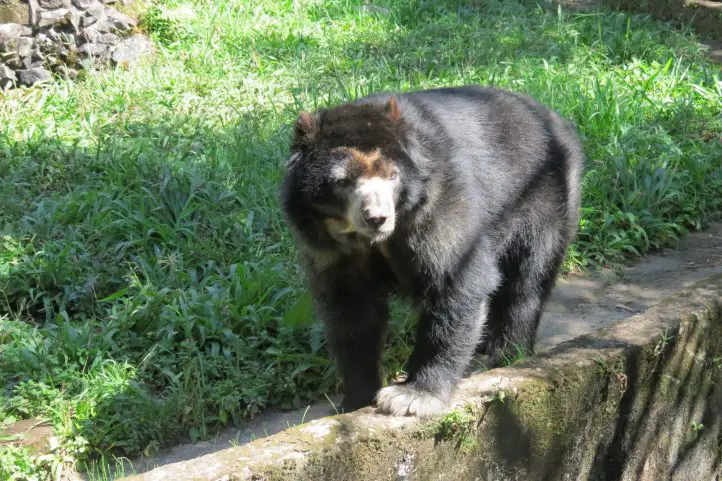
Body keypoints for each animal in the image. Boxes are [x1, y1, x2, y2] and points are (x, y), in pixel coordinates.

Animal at [278, 86, 584, 416]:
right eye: (343, 181)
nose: (377, 217)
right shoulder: (330, 253)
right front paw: (354, 401)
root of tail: (558, 121)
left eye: (392, 176)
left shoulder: (441, 204)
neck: (372, 240)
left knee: (527, 282)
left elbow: (458, 281)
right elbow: (352, 315)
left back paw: (507, 356)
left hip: (545, 198)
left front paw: (412, 396)